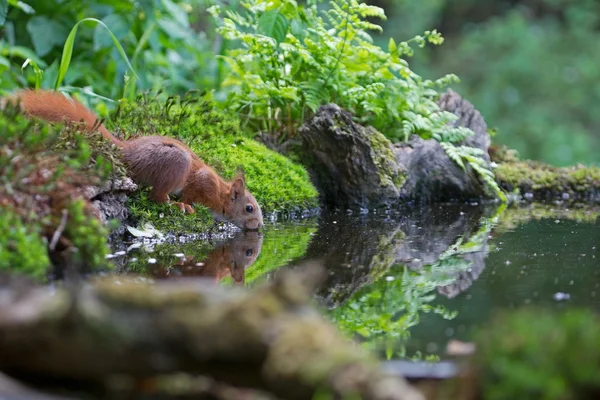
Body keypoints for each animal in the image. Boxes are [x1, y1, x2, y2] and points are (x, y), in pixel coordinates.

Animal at [10, 89, 264, 230]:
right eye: (249, 208)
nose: (261, 226)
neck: (221, 194)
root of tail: (126, 151)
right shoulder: (204, 181)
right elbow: (191, 192)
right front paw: (186, 204)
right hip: (176, 162)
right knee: (156, 196)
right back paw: (176, 205)